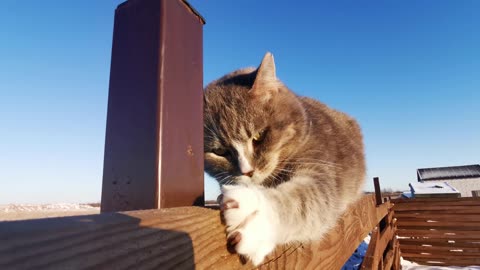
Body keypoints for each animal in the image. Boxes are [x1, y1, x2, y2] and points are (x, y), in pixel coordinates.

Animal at [204, 52, 366, 266]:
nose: (247, 171)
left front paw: (254, 213)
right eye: (219, 151)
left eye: (259, 136)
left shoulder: (321, 165)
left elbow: (306, 201)